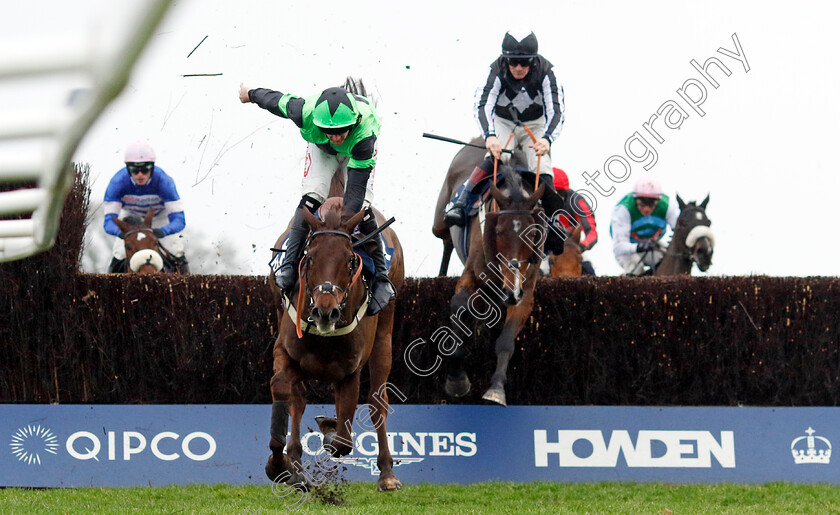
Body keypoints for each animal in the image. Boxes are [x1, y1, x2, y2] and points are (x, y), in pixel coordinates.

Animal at [266, 201, 404, 492]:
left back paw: (387, 474)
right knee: (299, 400)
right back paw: (297, 468)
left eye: (350, 260)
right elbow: (284, 390)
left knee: (378, 402)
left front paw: (330, 433)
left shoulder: (350, 370)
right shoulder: (286, 352)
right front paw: (279, 465)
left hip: (384, 335)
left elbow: (343, 440)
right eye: (309, 257)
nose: (324, 312)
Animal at [442, 165, 548, 408]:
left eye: (533, 233)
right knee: (446, 243)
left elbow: (506, 341)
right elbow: (458, 305)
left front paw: (496, 389)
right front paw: (457, 379)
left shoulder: (525, 292)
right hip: (439, 225)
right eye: (498, 231)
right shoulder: (472, 274)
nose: (510, 292)